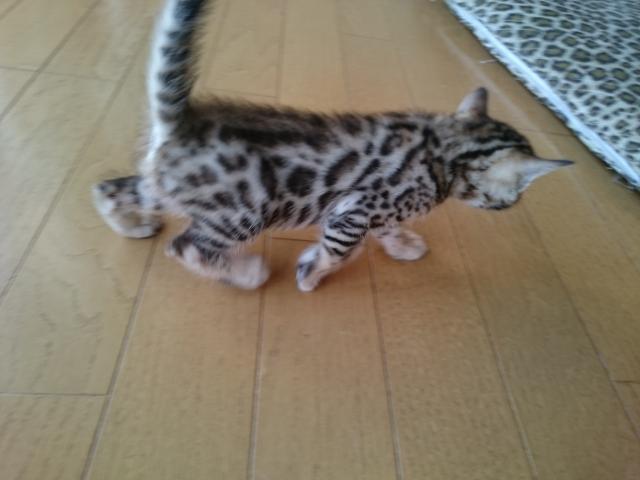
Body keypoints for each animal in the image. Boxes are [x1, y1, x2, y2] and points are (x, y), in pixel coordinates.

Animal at [93, 0, 572, 292]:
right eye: (512, 198)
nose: (512, 207)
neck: (444, 151)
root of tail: (183, 120)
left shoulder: (372, 210)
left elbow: (387, 229)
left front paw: (402, 244)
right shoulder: (355, 211)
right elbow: (338, 250)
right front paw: (311, 274)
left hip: (170, 187)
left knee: (108, 189)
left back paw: (130, 225)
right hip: (242, 211)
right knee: (187, 246)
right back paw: (247, 273)